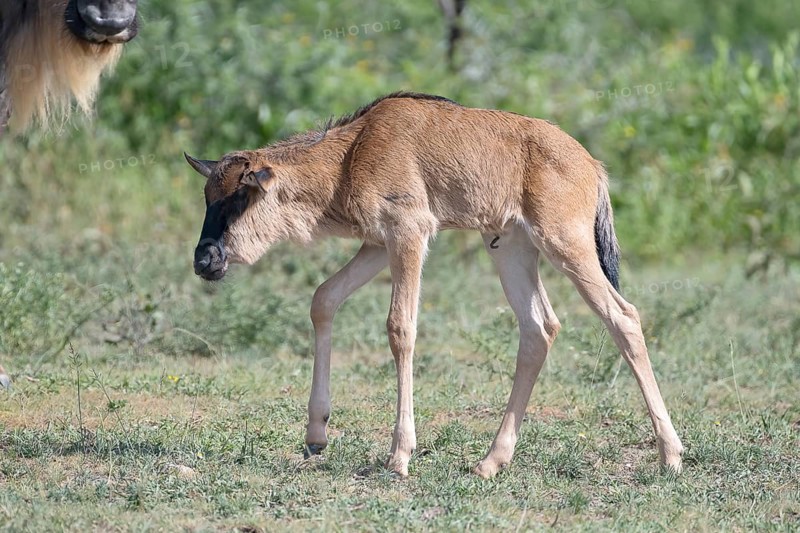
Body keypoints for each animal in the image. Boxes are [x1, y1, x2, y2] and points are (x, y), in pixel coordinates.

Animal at [184, 91, 684, 478]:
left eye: (240, 197)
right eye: (208, 197)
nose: (204, 260)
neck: (353, 152)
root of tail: (592, 165)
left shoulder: (409, 233)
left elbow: (400, 328)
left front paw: (400, 456)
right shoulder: (376, 243)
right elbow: (323, 299)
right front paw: (315, 434)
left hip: (567, 245)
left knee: (623, 316)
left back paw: (671, 455)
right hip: (510, 248)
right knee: (538, 330)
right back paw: (491, 461)